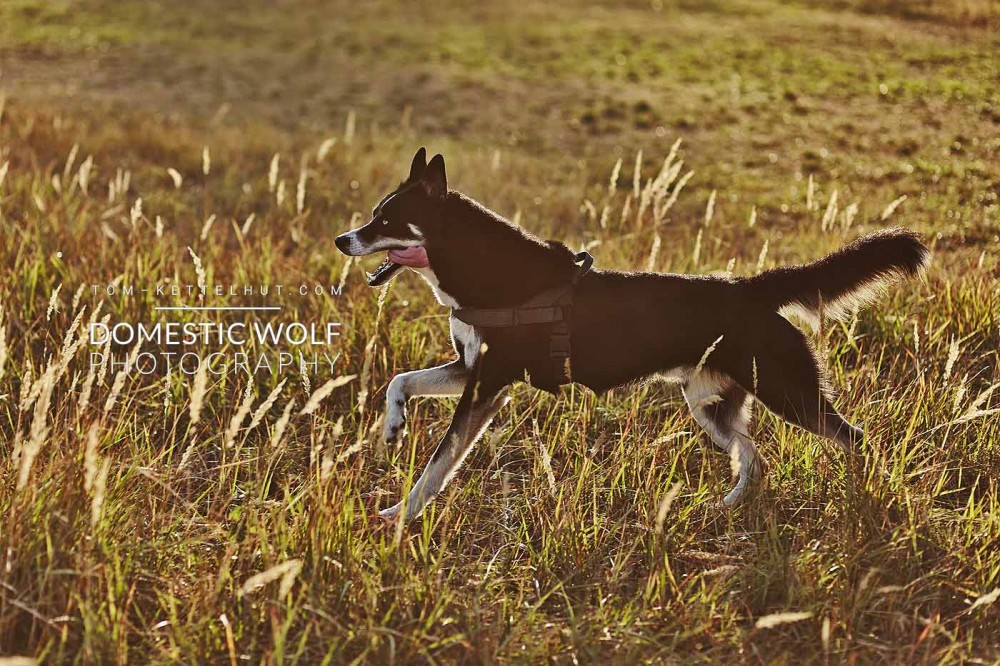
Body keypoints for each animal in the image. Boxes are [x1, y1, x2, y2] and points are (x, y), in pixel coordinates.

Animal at [336, 148, 928, 520]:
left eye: (386, 220)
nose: (343, 239)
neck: (485, 270)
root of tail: (751, 288)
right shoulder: (469, 370)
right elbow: (400, 381)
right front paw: (393, 427)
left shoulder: (486, 385)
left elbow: (438, 465)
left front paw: (401, 516)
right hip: (711, 405)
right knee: (754, 456)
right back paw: (729, 507)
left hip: (788, 392)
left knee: (855, 440)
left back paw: (863, 495)